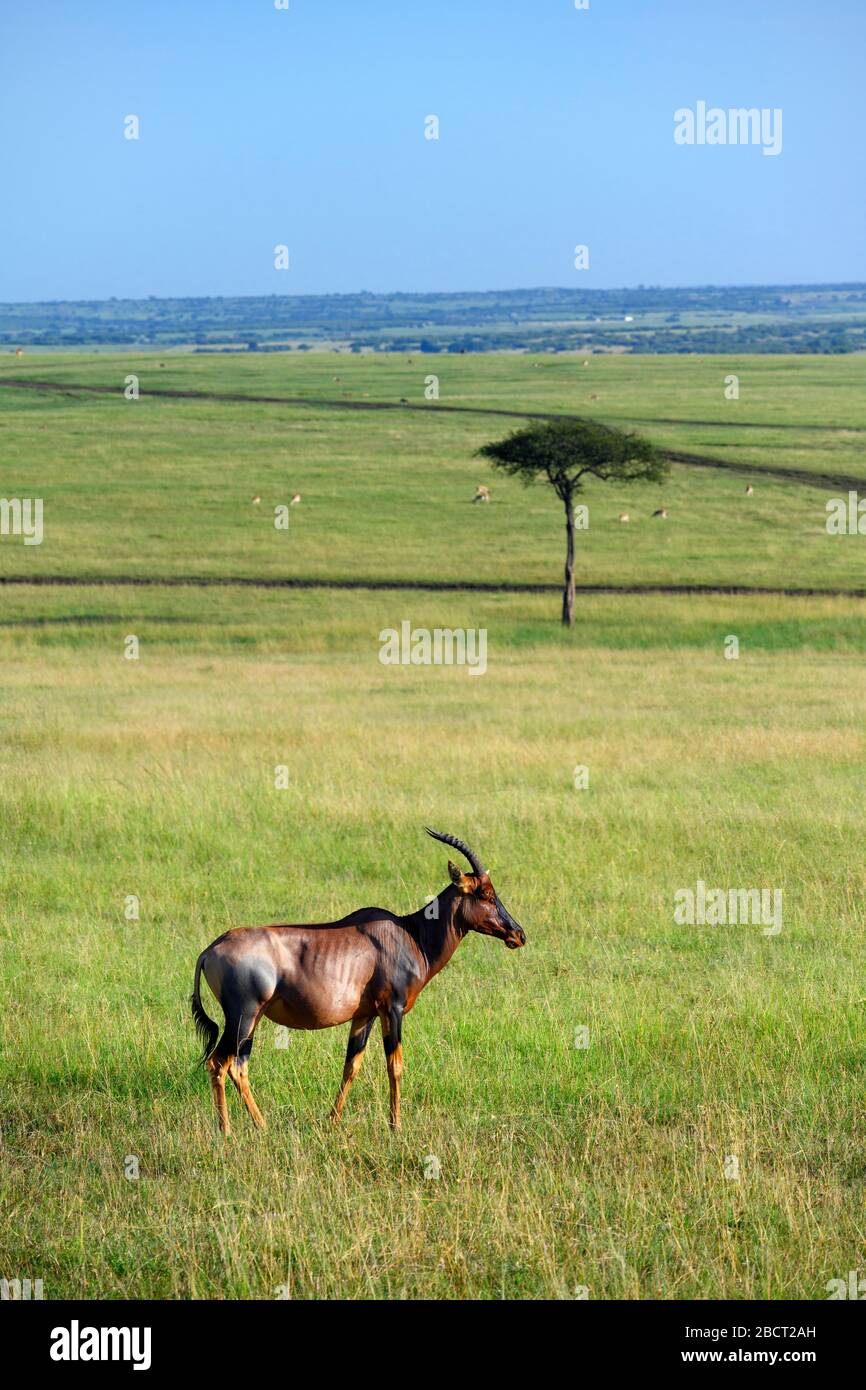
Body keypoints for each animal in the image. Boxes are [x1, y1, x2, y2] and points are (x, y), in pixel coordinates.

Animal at [191, 822, 525, 1128]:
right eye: (485, 893)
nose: (518, 935)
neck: (409, 934)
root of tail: (210, 949)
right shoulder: (393, 1010)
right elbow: (395, 1065)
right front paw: (396, 1126)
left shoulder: (364, 1015)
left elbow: (351, 1065)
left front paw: (333, 1121)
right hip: (243, 1016)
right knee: (219, 1063)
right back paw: (229, 1132)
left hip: (252, 1019)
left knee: (238, 1066)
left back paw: (259, 1126)